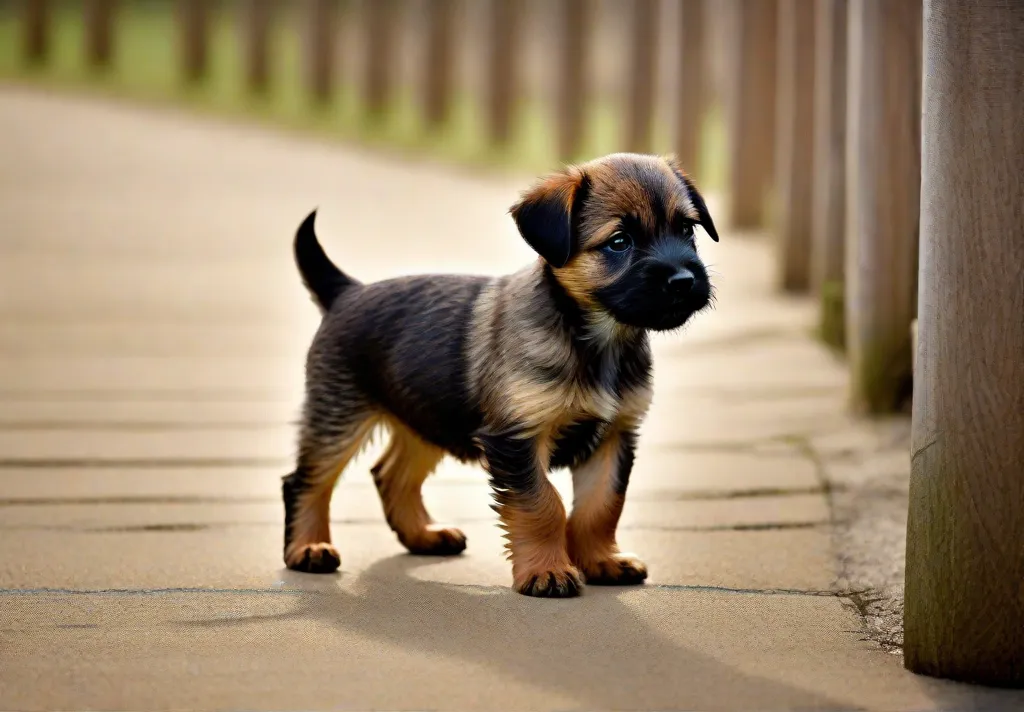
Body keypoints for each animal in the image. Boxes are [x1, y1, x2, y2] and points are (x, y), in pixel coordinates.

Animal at [282, 153, 720, 598]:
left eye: (687, 229)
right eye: (619, 242)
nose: (684, 281)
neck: (598, 339)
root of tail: (347, 291)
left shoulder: (615, 437)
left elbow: (602, 505)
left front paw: (601, 560)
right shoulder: (516, 439)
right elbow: (542, 503)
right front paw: (548, 571)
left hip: (427, 417)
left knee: (391, 475)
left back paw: (424, 535)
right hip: (338, 415)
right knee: (305, 480)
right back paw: (309, 548)